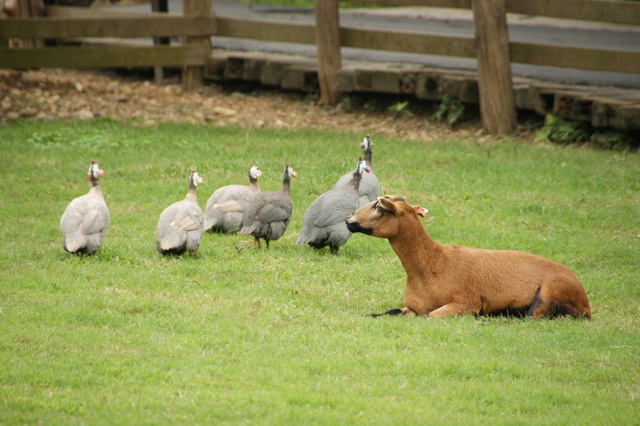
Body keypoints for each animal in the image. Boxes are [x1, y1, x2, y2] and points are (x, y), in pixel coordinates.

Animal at [348, 196, 592, 320]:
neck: (432, 264)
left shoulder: (466, 302)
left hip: (550, 291)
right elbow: (387, 312)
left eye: (379, 207)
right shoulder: (412, 307)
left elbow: (432, 316)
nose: (348, 220)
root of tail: (585, 303)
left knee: (533, 316)